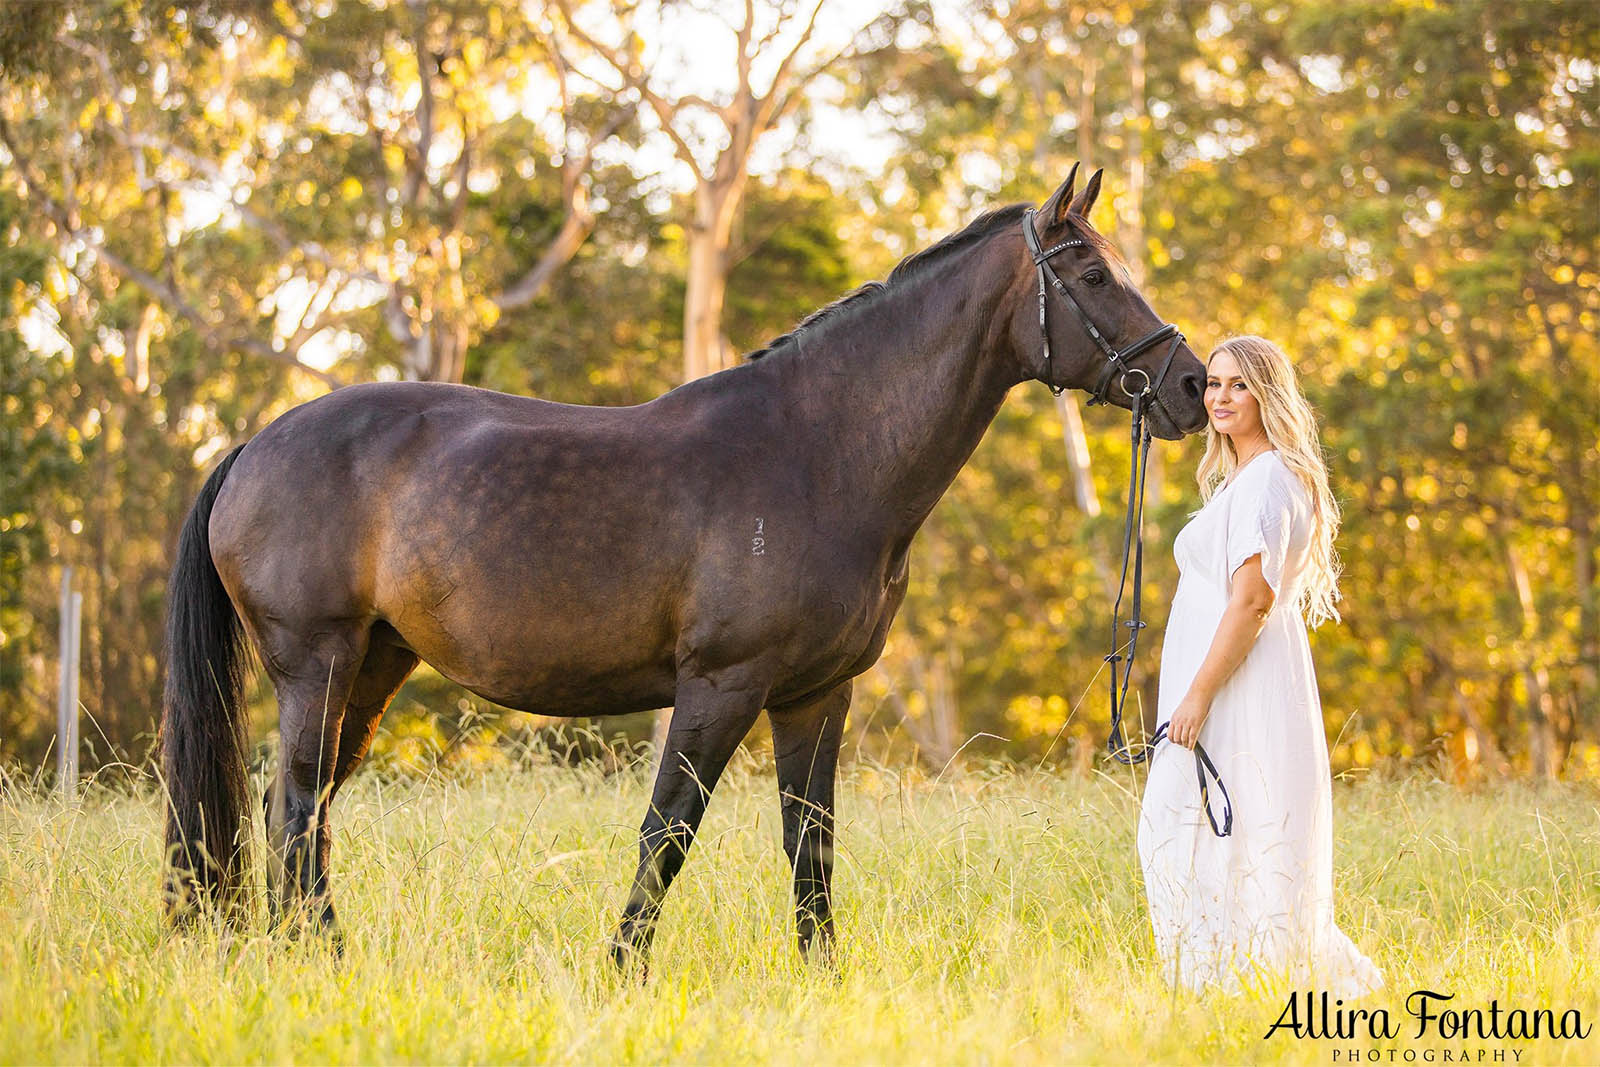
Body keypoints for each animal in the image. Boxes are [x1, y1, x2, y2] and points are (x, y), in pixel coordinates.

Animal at [162, 163, 1203, 966]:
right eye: (1091, 273)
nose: (1190, 384)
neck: (818, 452)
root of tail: (252, 445)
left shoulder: (816, 695)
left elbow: (810, 843)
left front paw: (820, 977)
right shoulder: (720, 685)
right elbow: (668, 830)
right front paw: (623, 968)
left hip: (375, 664)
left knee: (301, 807)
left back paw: (297, 953)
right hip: (319, 663)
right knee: (298, 804)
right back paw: (322, 955)